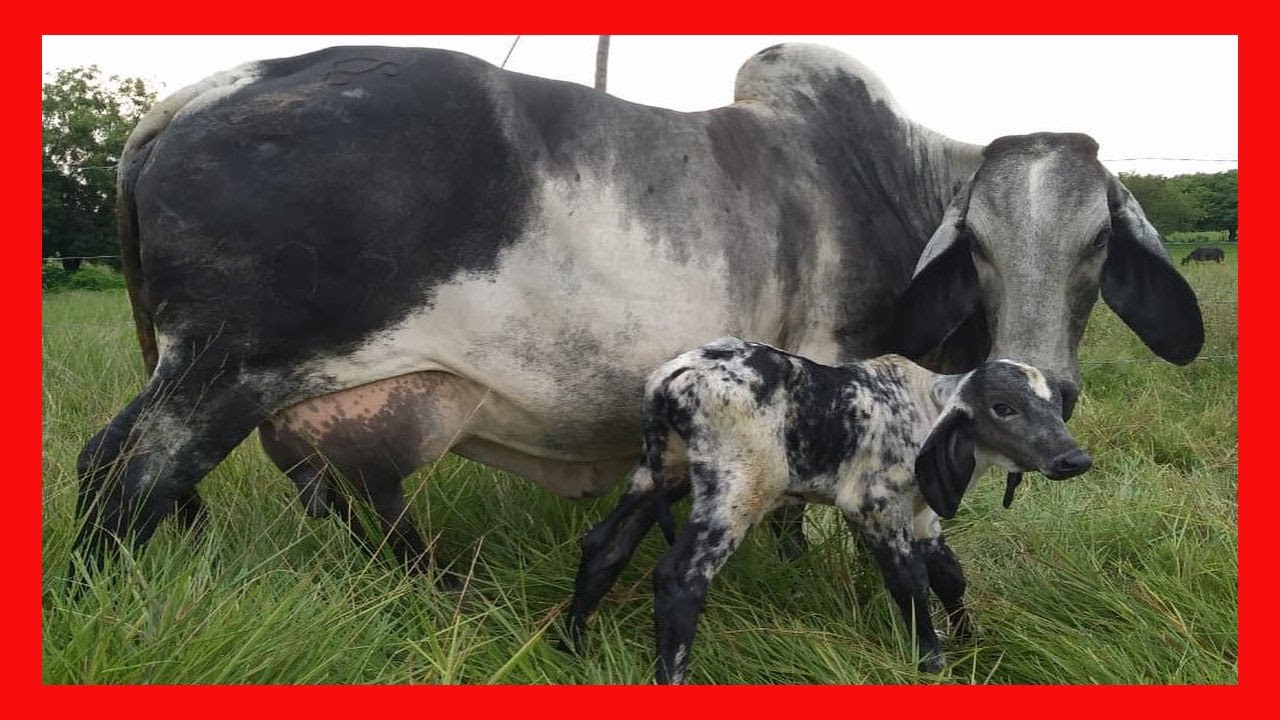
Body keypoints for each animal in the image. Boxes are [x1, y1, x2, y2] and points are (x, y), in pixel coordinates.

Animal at [71, 43, 1203, 590]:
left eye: (1097, 244)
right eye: (977, 243)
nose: (1045, 381)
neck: (887, 176)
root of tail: (192, 97)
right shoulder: (836, 383)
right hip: (220, 371)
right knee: (127, 479)